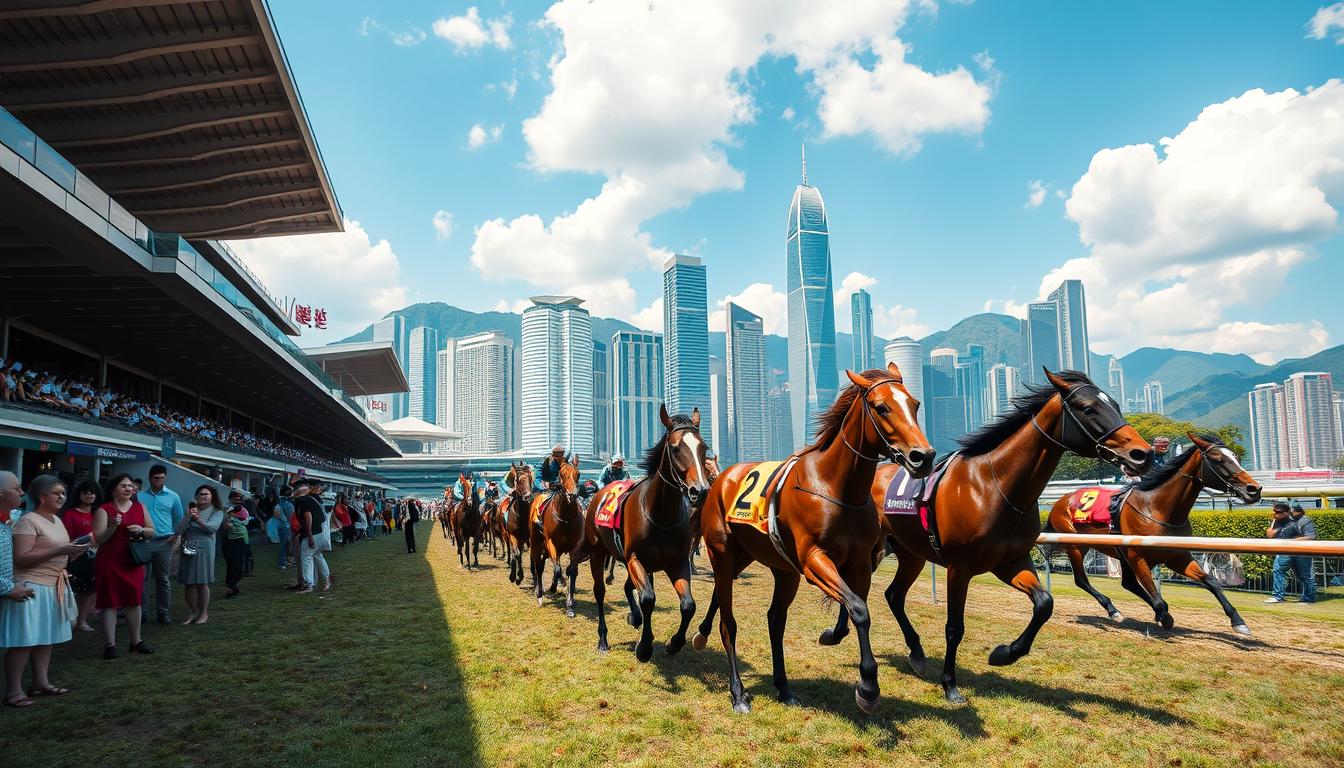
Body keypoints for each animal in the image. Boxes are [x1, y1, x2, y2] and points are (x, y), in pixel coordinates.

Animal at [524, 459, 588, 616]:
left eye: (578, 474)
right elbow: (558, 570)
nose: (572, 494)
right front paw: (561, 584)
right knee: (538, 565)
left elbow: (571, 571)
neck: (566, 518)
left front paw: (570, 604)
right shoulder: (551, 544)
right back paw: (540, 594)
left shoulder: (576, 546)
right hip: (536, 542)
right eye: (562, 474)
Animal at [588, 406, 715, 664]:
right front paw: (645, 647)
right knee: (600, 592)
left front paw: (674, 643)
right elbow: (647, 598)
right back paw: (603, 639)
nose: (700, 491)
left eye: (704, 447)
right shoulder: (635, 558)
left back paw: (634, 618)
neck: (661, 516)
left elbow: (688, 605)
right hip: (598, 552)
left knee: (629, 587)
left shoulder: (677, 561)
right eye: (675, 448)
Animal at [693, 365, 935, 715]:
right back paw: (737, 692)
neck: (836, 489)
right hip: (722, 552)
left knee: (773, 619)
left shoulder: (860, 563)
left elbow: (855, 608)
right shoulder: (813, 560)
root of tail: (722, 479)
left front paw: (833, 635)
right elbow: (859, 608)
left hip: (770, 564)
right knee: (729, 622)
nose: (923, 457)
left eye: (915, 405)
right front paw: (868, 686)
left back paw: (780, 684)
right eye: (881, 408)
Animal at [822, 368, 1150, 704]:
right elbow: (954, 627)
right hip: (872, 550)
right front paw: (951, 685)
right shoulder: (960, 567)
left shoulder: (1011, 561)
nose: (1142, 453)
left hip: (910, 553)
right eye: (1088, 409)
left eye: (1116, 405)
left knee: (892, 595)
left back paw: (914, 652)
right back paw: (840, 633)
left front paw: (1004, 653)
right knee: (859, 588)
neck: (995, 486)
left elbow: (1044, 603)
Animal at [1048, 433, 1257, 637]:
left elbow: (1212, 582)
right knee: (1082, 580)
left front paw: (1239, 622)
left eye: (1237, 458)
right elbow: (1160, 601)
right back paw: (1113, 611)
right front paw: (1164, 618)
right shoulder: (1138, 559)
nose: (1254, 489)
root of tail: (1060, 501)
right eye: (1218, 459)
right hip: (1076, 546)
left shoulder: (1177, 557)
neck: (1158, 509)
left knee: (1128, 583)